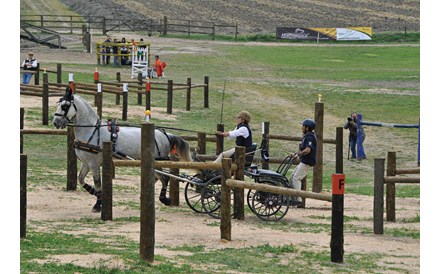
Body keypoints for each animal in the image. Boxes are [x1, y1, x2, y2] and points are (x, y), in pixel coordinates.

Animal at [52, 88, 191, 212]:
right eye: (58, 104)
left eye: (65, 106)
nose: (55, 122)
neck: (92, 131)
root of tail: (164, 134)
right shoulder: (86, 163)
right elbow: (81, 179)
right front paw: (93, 192)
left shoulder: (94, 164)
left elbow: (98, 183)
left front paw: (97, 204)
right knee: (157, 178)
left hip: (158, 162)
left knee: (164, 178)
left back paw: (164, 199)